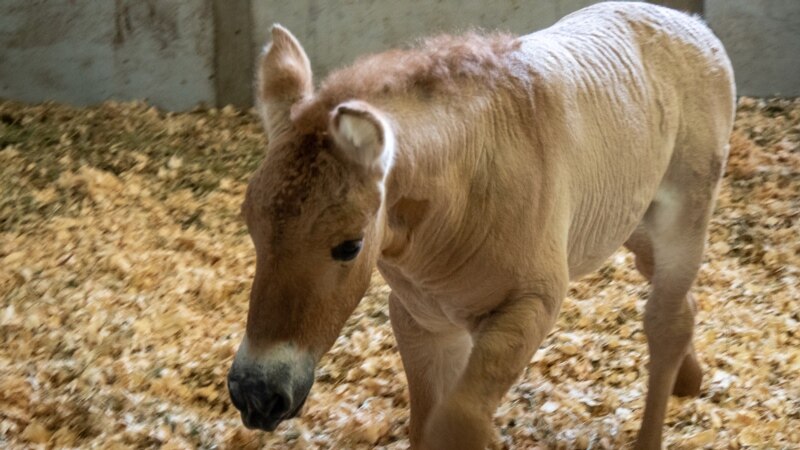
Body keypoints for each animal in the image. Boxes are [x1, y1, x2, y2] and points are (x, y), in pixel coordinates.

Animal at [226, 2, 735, 448]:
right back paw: (690, 380)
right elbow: (426, 428)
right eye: (251, 227)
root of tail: (691, 24)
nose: (257, 395)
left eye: (350, 245)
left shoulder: (528, 307)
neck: (464, 195)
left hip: (684, 217)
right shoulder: (423, 322)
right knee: (682, 304)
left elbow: (457, 426)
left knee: (665, 321)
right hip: (632, 224)